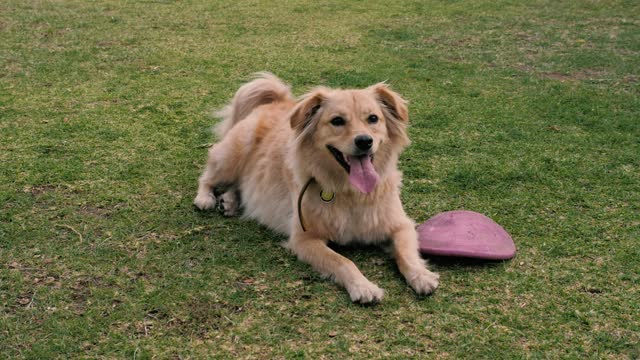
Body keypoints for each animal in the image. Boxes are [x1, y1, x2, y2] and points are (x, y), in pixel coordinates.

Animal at [192, 71, 438, 302]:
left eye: (373, 118)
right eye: (337, 121)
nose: (364, 141)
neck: (351, 193)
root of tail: (276, 102)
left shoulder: (400, 225)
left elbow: (406, 253)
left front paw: (421, 275)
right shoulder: (305, 239)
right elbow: (342, 261)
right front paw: (363, 286)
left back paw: (229, 200)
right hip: (232, 155)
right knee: (209, 174)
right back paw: (205, 198)